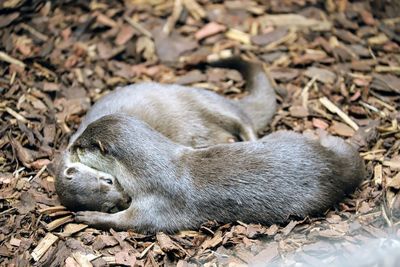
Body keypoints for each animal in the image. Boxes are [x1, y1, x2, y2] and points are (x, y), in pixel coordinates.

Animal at [66, 115, 366, 234]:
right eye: (80, 136)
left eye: (82, 145)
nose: (70, 147)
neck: (154, 169)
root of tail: (334, 165)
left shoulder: (157, 204)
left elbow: (131, 222)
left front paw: (88, 217)